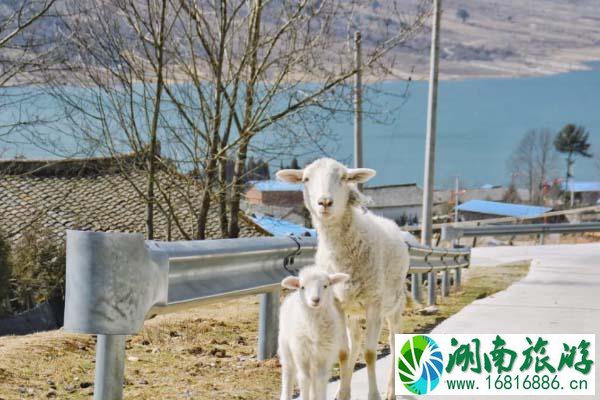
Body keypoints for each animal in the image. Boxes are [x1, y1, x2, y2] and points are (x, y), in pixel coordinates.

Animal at [278, 266, 350, 400]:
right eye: (302, 287)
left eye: (326, 285)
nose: (315, 300)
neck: (314, 330)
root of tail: (292, 294)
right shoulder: (301, 354)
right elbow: (304, 379)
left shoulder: (324, 355)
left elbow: (321, 380)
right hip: (285, 345)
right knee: (288, 371)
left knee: (314, 377)